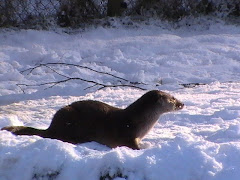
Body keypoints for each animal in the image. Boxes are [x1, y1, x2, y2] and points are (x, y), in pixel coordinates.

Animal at [1, 90, 184, 149]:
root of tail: (52, 126)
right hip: (70, 120)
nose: (182, 103)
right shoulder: (128, 135)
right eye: (173, 99)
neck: (139, 121)